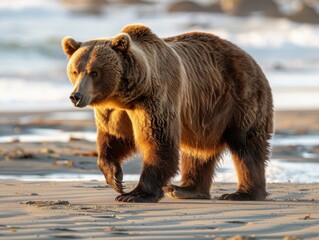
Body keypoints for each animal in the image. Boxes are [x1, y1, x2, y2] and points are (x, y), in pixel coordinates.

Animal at [63, 23, 276, 202]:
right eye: (75, 71)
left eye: (94, 72)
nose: (76, 96)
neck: (126, 96)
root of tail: (249, 57)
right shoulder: (114, 111)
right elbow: (115, 138)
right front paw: (115, 178)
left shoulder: (155, 100)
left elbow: (158, 141)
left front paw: (135, 194)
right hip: (205, 116)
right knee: (197, 152)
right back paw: (185, 189)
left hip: (241, 98)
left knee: (246, 146)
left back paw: (243, 193)